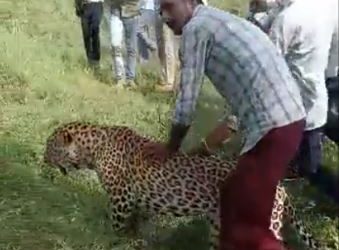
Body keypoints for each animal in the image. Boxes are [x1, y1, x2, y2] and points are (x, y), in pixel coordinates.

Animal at [42, 122, 330, 250]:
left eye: (50, 146)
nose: (43, 159)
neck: (93, 149)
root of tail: (282, 188)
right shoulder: (138, 202)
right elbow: (137, 226)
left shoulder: (121, 198)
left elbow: (115, 226)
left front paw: (110, 239)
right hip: (218, 224)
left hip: (264, 224)